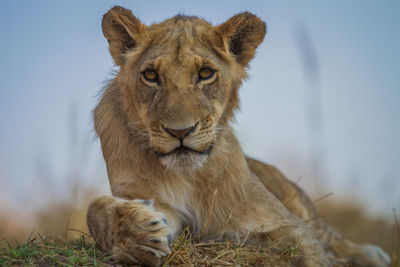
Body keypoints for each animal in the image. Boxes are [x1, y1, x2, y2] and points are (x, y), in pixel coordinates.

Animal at [87, 6, 390, 267]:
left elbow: (312, 251)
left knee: (332, 236)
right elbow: (95, 211)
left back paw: (372, 254)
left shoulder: (288, 224)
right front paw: (136, 234)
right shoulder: (156, 205)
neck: (189, 176)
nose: (180, 131)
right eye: (150, 75)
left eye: (205, 73)